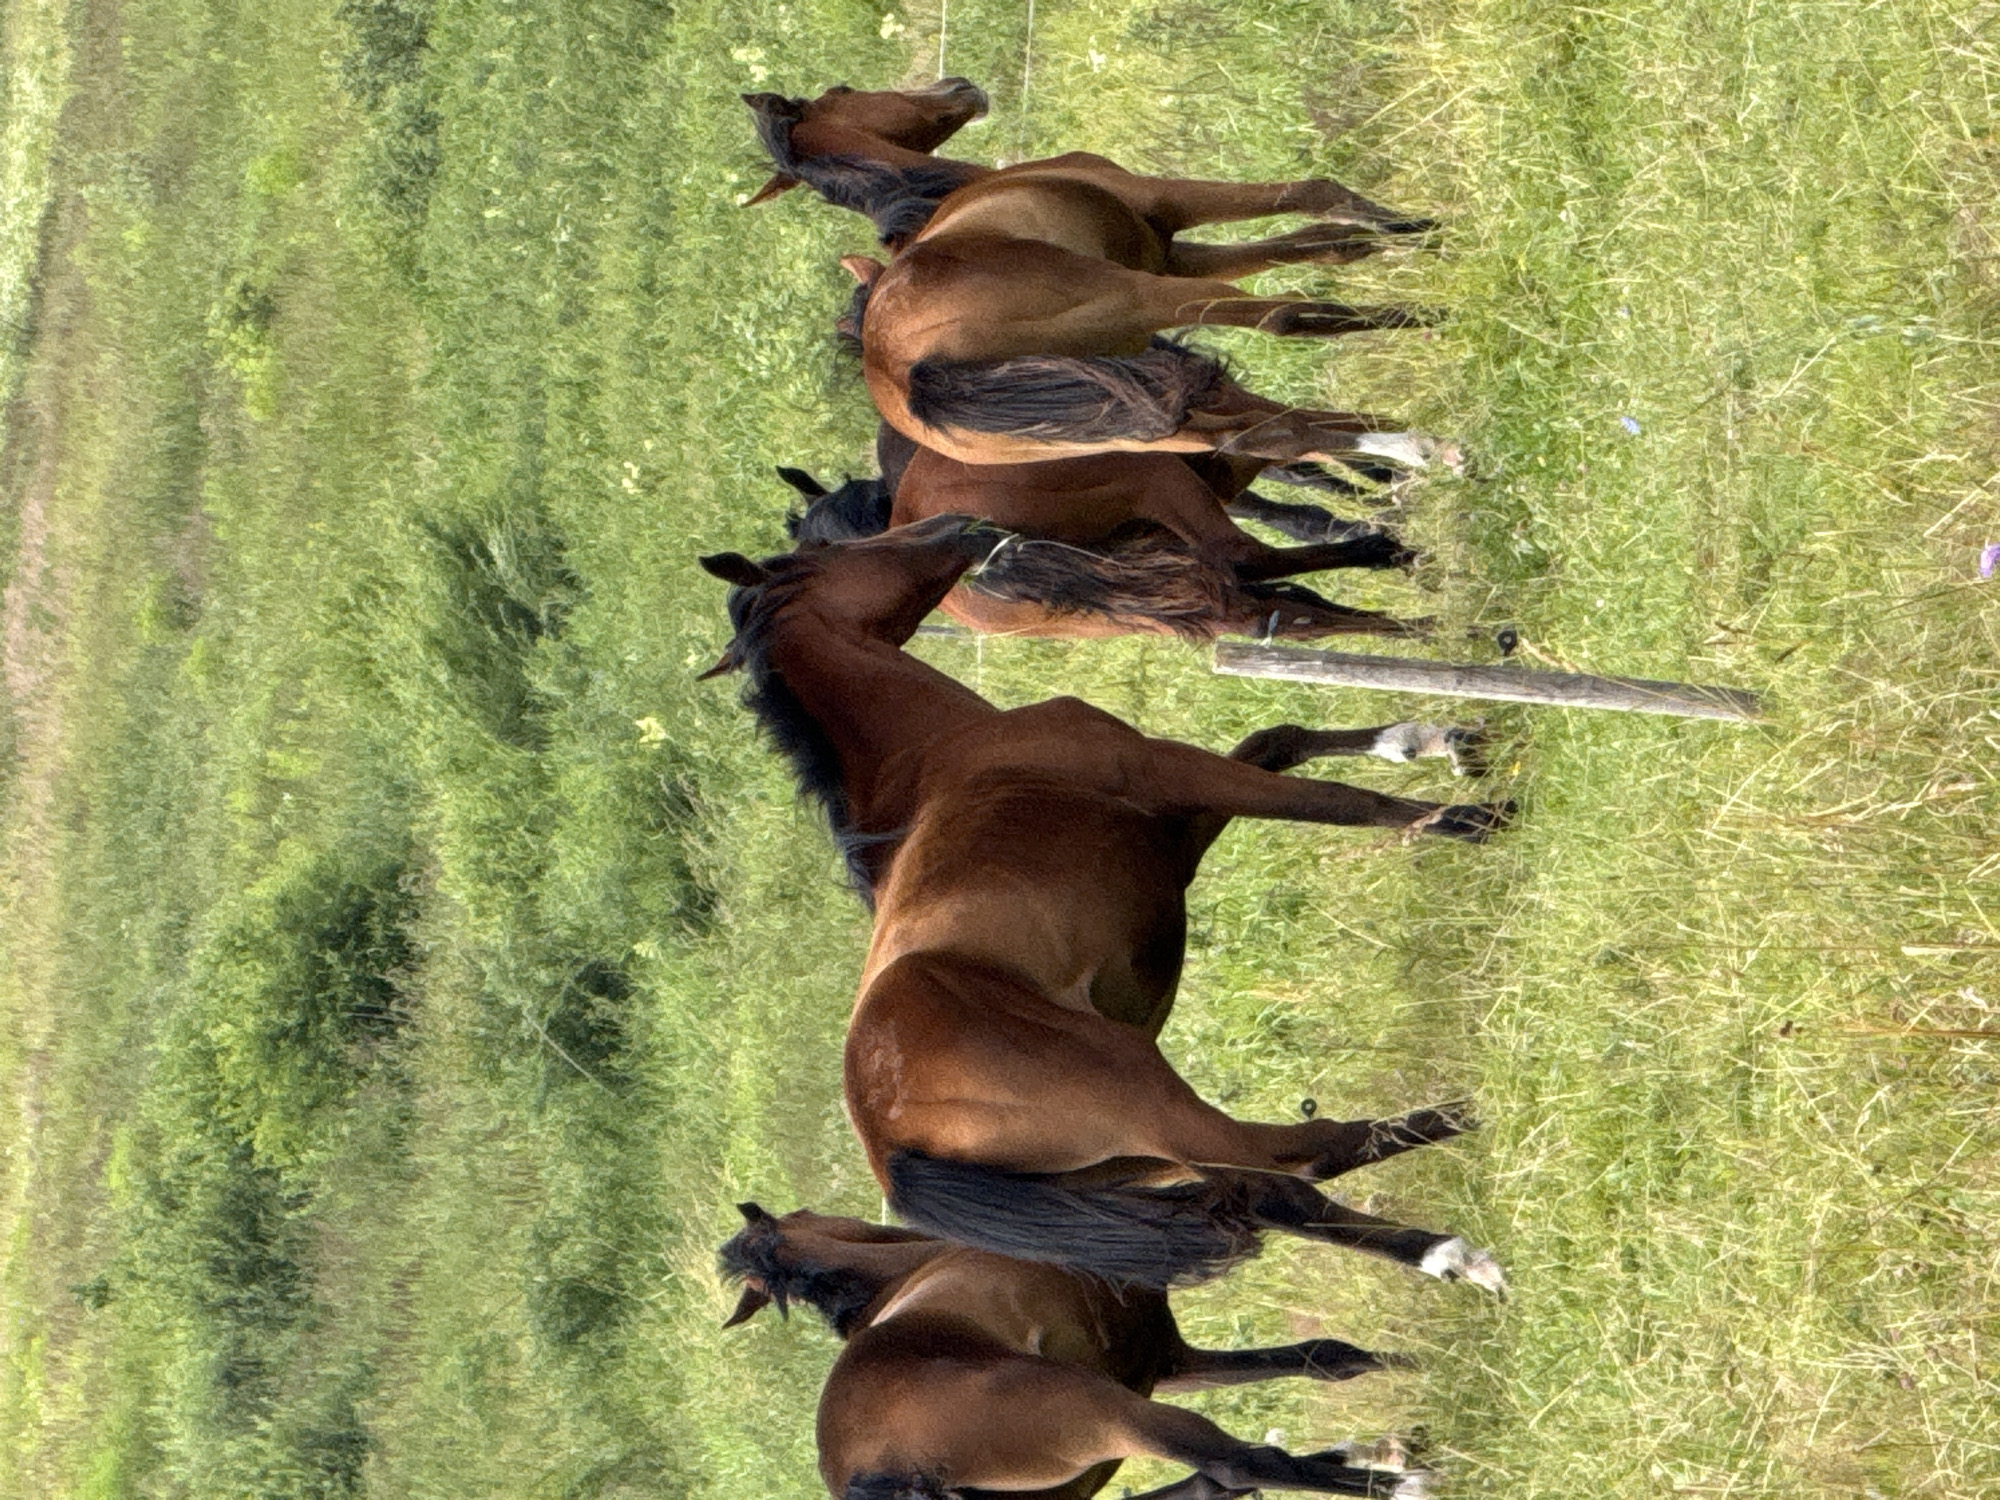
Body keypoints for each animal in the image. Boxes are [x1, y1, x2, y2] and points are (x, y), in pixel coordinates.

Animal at [698, 516, 1509, 1291]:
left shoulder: (1177, 834)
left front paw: (1431, 737)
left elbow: (1280, 740)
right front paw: (1469, 816)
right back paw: (1465, 1168)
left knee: (1272, 1188)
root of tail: (888, 1145)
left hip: (1137, 1159)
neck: (937, 754)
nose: (961, 526)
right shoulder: (1169, 771)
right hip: (1148, 1093)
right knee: (1302, 1162)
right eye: (832, 550)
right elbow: (1336, 801)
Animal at [718, 1202, 1426, 1500]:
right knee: (1236, 1466)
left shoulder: (1169, 1360)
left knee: (1212, 1481)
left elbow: (1328, 1357)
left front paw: (1423, 1366)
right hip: (1110, 1415)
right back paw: (1406, 1479)